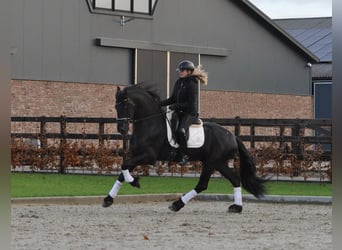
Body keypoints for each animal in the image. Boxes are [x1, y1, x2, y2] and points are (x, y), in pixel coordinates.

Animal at [103, 84, 266, 213]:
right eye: (116, 106)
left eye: (126, 105)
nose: (122, 129)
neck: (149, 124)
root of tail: (232, 136)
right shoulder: (136, 155)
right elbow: (122, 172)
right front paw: (109, 199)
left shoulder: (148, 157)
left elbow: (124, 166)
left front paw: (135, 182)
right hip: (219, 163)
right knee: (235, 179)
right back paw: (237, 207)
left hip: (211, 162)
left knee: (202, 184)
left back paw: (177, 204)